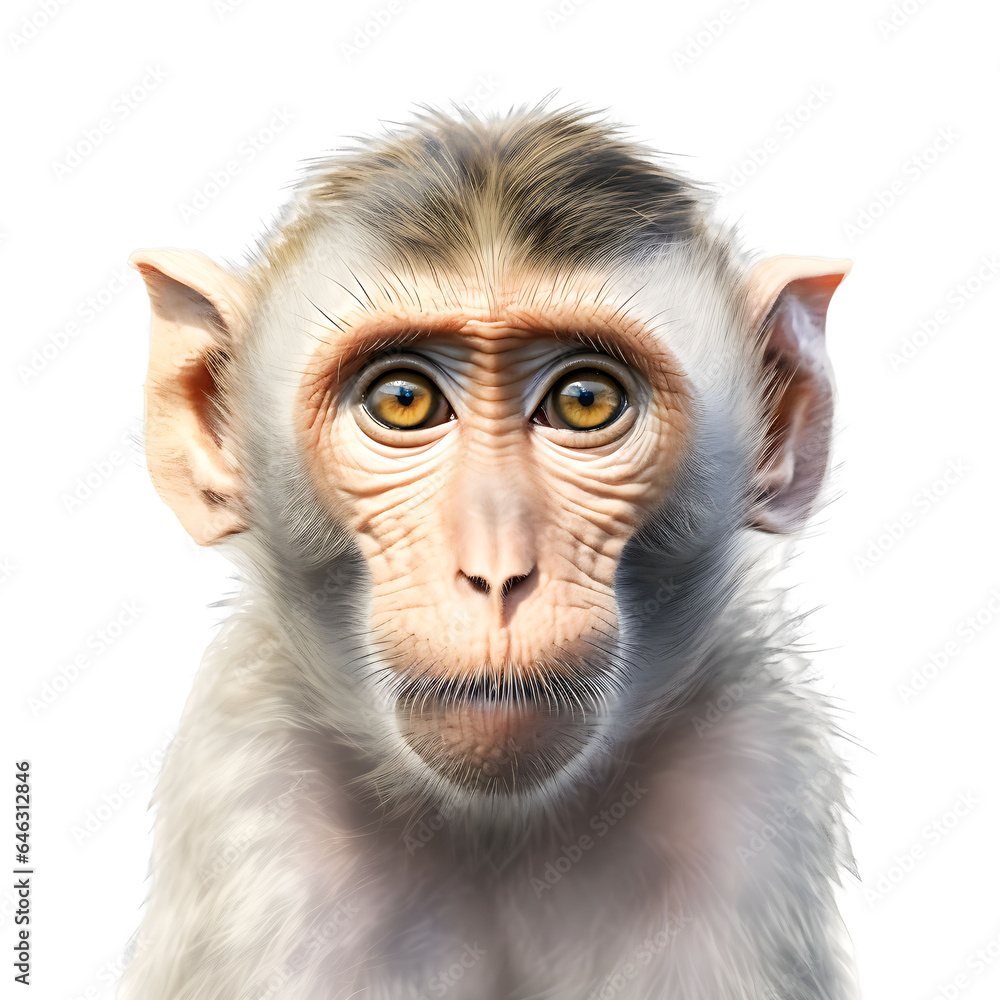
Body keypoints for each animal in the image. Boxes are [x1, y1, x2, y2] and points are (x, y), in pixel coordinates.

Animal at [120, 105, 856, 1000]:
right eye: (404, 400)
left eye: (585, 401)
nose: (497, 573)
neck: (497, 830)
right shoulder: (257, 802)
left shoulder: (746, 781)